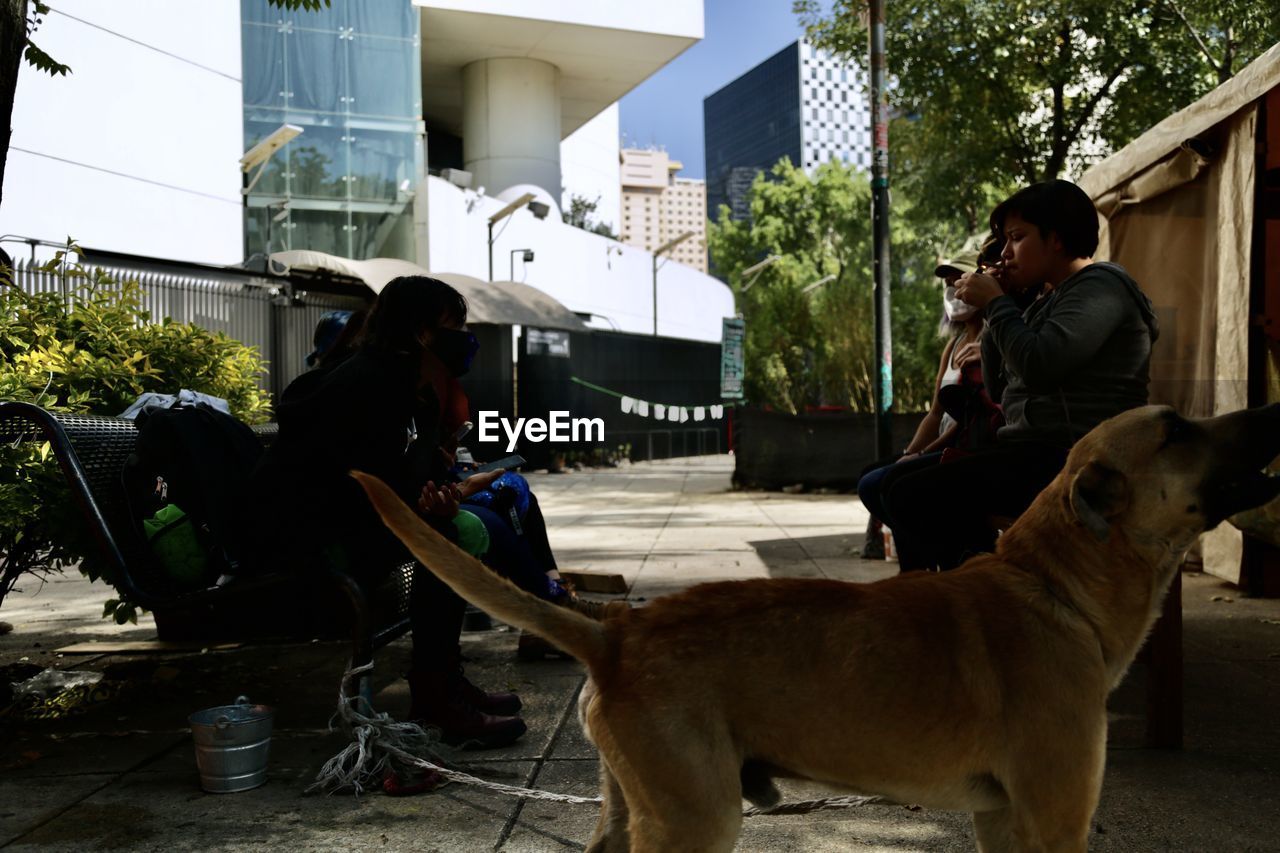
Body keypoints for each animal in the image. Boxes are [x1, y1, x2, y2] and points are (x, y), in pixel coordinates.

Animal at [350, 404, 1280, 850]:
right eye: (1176, 428)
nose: (1271, 405)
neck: (1054, 584)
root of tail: (616, 630)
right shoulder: (1053, 822)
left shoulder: (1003, 822)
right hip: (695, 820)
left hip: (635, 811)